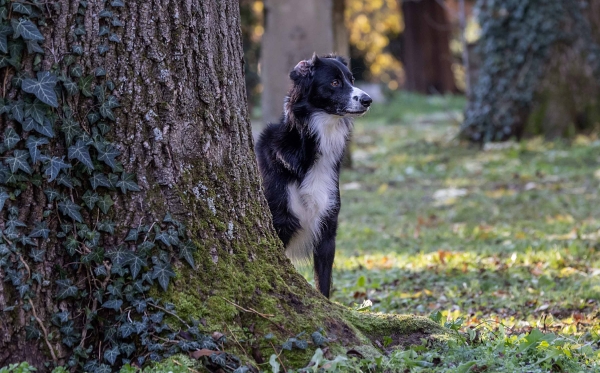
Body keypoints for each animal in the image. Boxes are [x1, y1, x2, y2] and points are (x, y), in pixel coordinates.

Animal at [256, 53, 372, 296]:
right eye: (335, 82)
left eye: (351, 79)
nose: (368, 100)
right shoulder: (280, 223)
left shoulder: (327, 231)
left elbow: (323, 284)